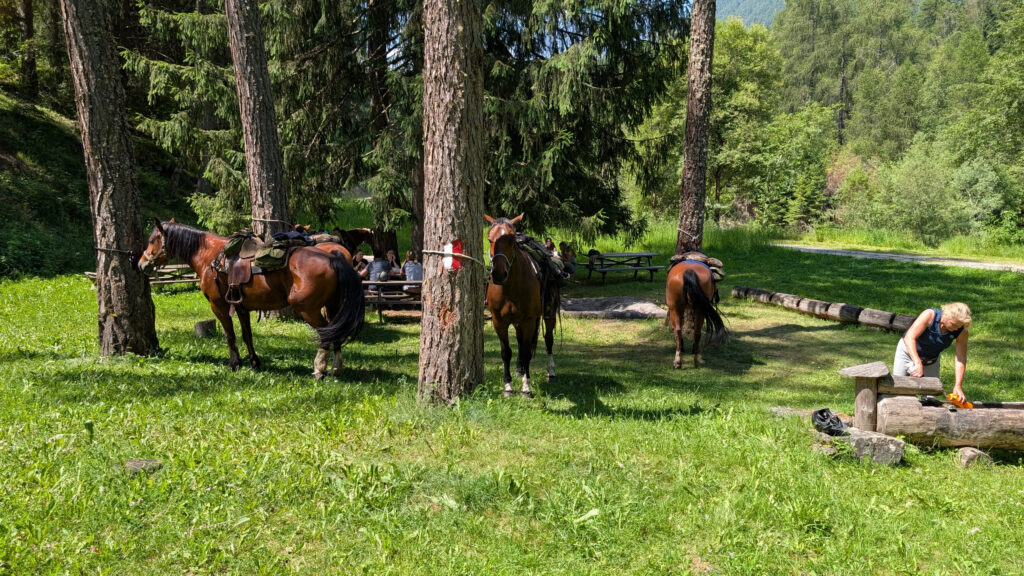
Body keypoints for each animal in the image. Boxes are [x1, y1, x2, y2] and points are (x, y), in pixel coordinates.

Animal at [138, 219, 365, 379]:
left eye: (151, 240)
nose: (141, 264)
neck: (210, 257)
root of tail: (334, 258)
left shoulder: (219, 306)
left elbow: (230, 336)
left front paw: (234, 364)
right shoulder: (241, 307)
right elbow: (247, 335)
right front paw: (254, 363)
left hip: (307, 309)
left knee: (327, 333)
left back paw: (319, 369)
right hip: (332, 306)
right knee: (336, 332)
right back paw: (335, 368)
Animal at [485, 214, 559, 397]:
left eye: (512, 240)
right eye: (490, 239)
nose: (498, 273)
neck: (510, 286)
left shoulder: (528, 321)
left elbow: (526, 352)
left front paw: (526, 388)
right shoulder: (499, 322)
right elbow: (506, 352)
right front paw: (508, 387)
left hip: (548, 313)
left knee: (548, 340)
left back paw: (551, 372)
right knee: (520, 342)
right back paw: (520, 370)